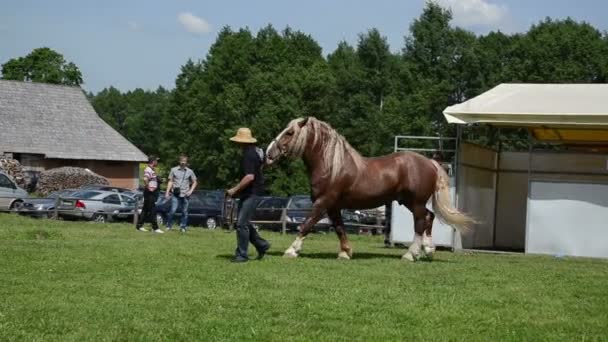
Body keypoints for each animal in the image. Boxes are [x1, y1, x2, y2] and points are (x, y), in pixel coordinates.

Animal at [266, 116, 476, 260]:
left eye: (290, 132)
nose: (269, 154)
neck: (332, 166)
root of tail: (430, 162)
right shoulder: (334, 206)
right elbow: (340, 228)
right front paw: (345, 252)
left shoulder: (323, 202)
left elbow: (307, 224)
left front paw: (291, 250)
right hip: (409, 202)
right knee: (429, 217)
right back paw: (428, 250)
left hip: (416, 202)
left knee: (420, 222)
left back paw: (410, 254)